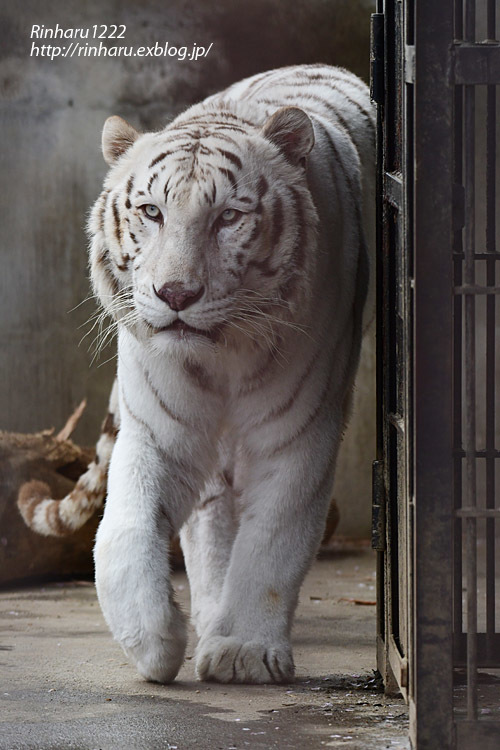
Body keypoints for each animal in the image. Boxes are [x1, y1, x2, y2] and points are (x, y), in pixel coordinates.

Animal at [16, 66, 376, 688]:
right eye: (151, 212)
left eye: (228, 216)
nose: (176, 294)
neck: (224, 358)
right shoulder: (158, 430)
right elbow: (124, 530)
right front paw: (154, 641)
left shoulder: (299, 432)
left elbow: (274, 538)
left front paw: (245, 652)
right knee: (209, 515)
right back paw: (206, 614)